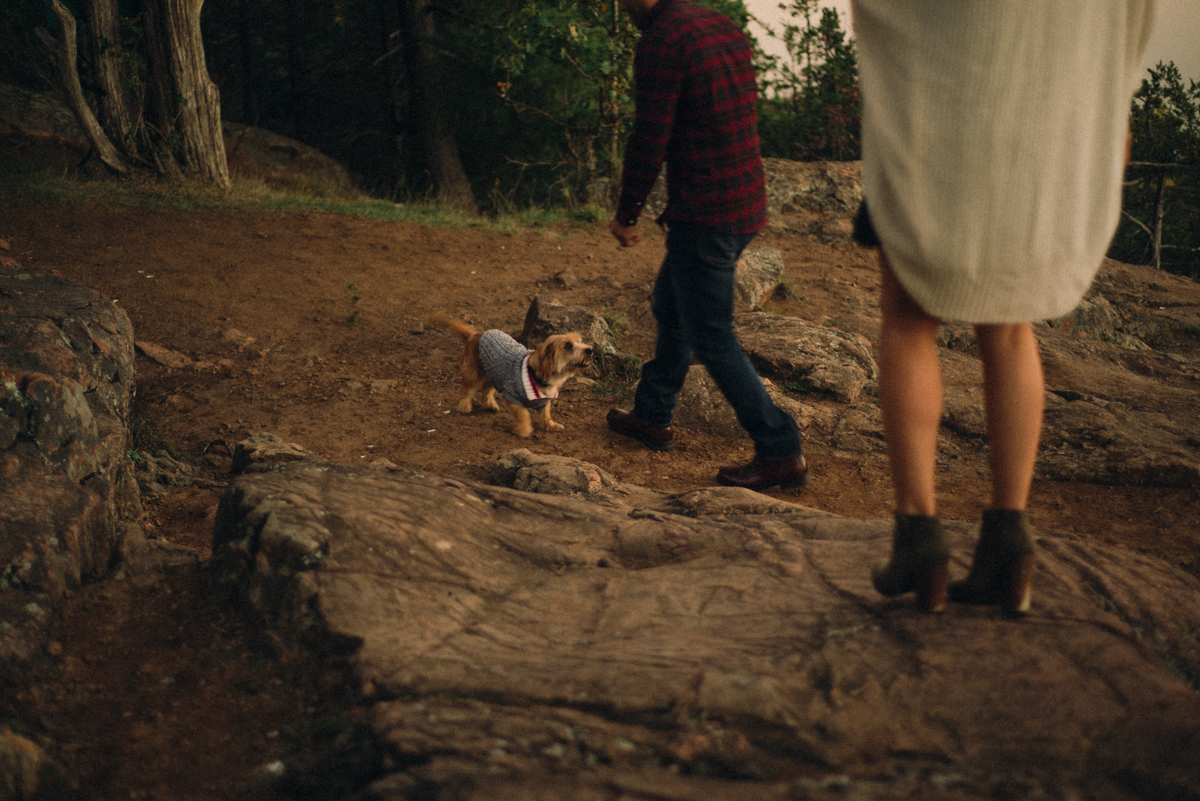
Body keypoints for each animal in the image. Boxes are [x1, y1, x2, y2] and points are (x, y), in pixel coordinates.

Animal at [427, 311, 595, 438]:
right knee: (466, 390)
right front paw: (524, 430)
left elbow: (545, 413)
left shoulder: (544, 401)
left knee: (486, 390)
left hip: (493, 375)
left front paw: (550, 425)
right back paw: (464, 407)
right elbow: (523, 414)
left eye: (580, 341)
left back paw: (490, 405)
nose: (590, 349)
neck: (538, 376)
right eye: (568, 345)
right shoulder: (511, 398)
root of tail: (475, 334)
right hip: (473, 374)